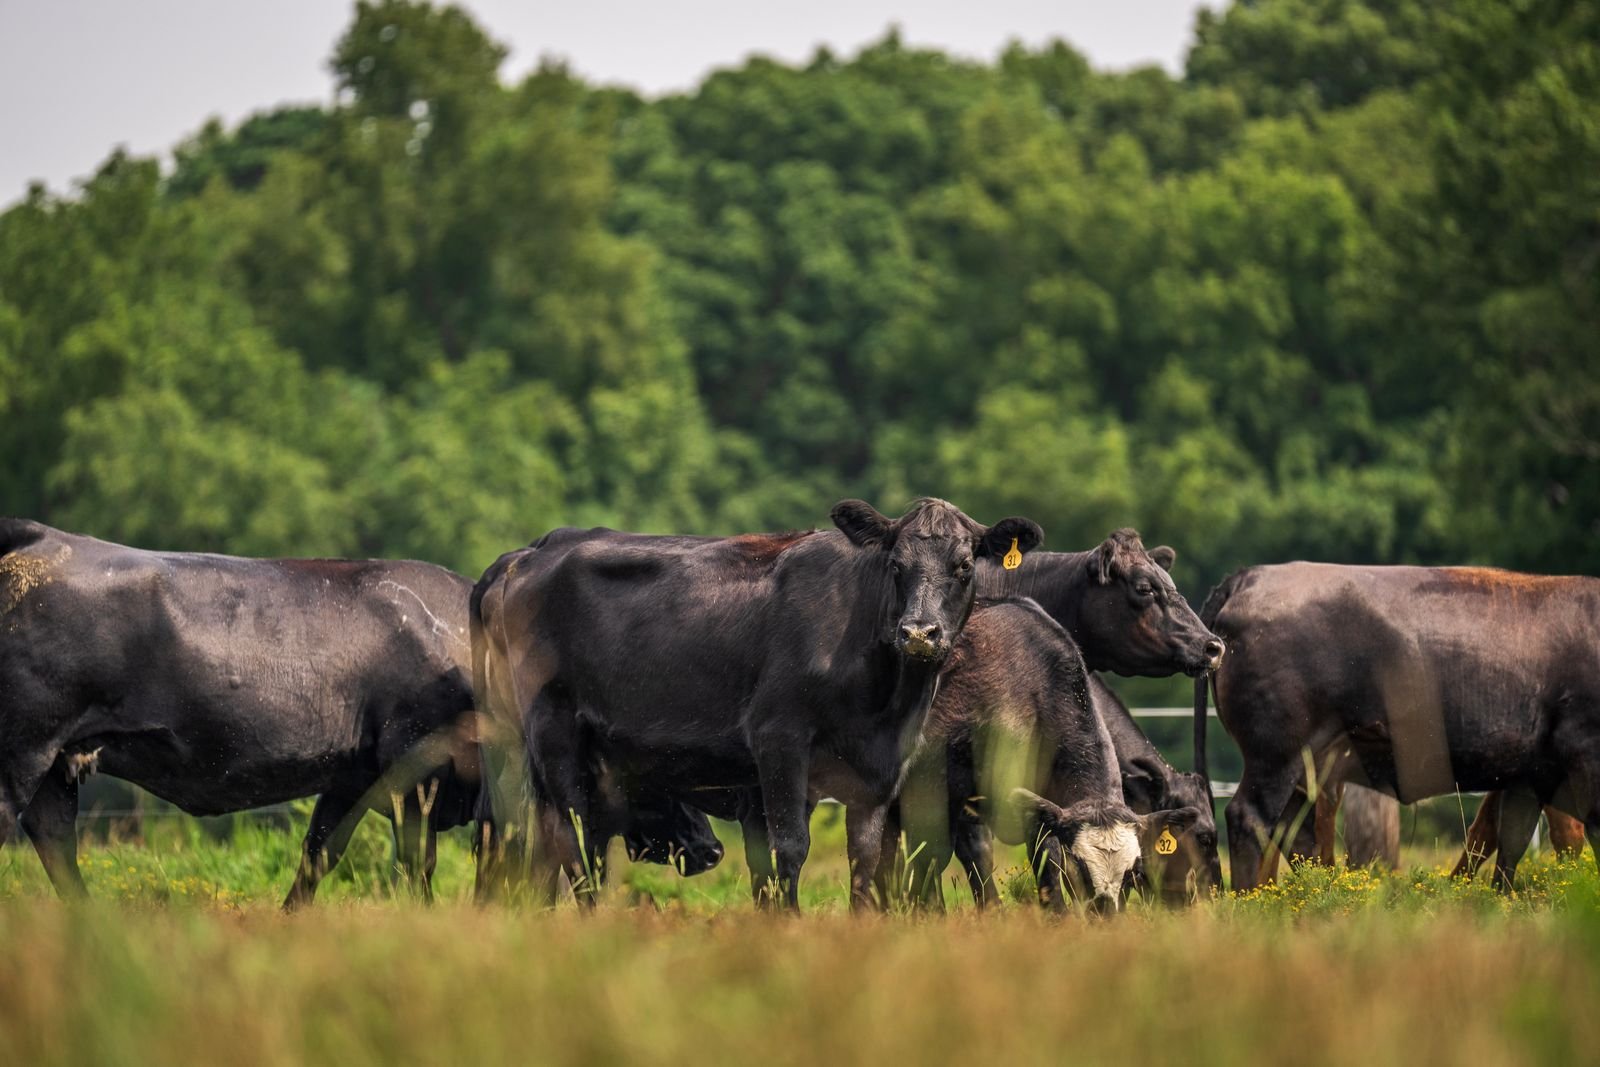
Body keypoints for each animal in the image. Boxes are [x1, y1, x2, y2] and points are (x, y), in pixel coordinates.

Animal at [469, 498, 1042, 910]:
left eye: (964, 566)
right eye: (896, 565)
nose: (919, 632)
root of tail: (527, 555)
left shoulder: (881, 764)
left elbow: (866, 855)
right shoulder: (779, 739)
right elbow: (787, 848)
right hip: (552, 734)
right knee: (571, 840)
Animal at [1197, 563, 1600, 892]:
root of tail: (1250, 576)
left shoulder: (1526, 776)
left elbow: (1509, 840)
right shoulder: (1581, 755)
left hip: (1308, 766)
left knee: (1294, 830)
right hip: (1278, 755)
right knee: (1251, 818)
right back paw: (1254, 902)